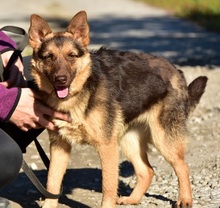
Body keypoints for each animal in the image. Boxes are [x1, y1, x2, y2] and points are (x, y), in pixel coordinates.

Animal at [28, 10, 207, 207]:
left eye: (71, 56)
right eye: (48, 57)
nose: (61, 79)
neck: (79, 93)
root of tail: (177, 71)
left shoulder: (107, 148)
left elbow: (108, 186)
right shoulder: (59, 145)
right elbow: (52, 182)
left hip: (163, 140)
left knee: (182, 167)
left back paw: (185, 199)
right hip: (129, 142)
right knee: (147, 171)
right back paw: (133, 199)